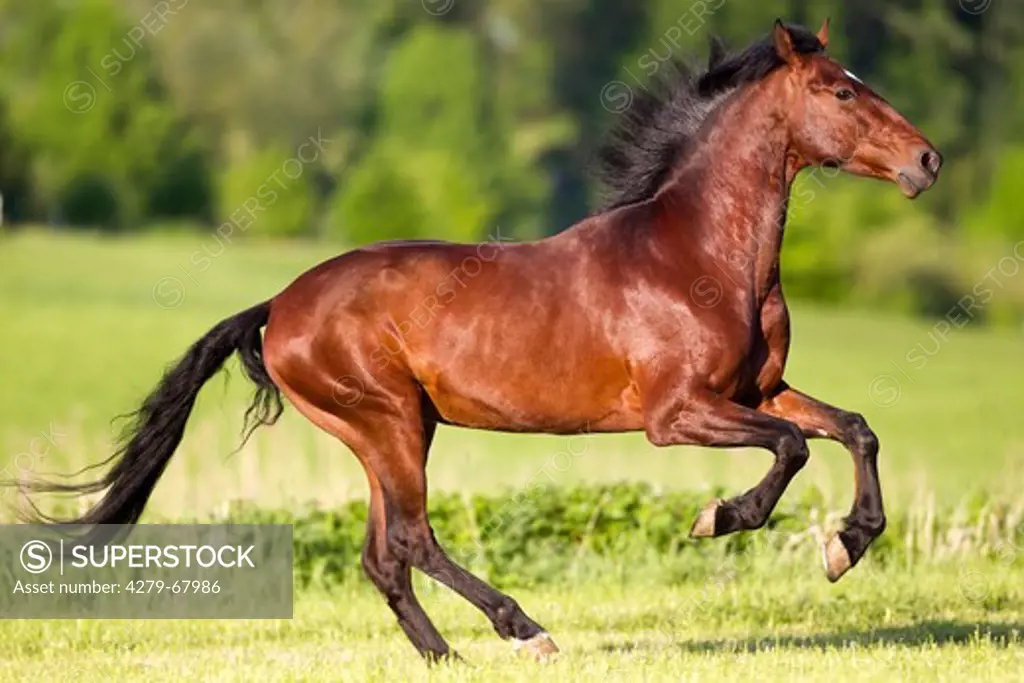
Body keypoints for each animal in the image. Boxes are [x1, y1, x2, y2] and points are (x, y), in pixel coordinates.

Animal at [24, 21, 937, 663]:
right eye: (839, 92)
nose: (926, 161)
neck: (700, 256)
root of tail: (279, 305)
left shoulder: (757, 391)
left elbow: (853, 429)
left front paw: (846, 546)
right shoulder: (679, 413)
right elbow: (791, 448)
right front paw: (722, 517)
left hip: (390, 430)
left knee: (382, 554)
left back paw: (445, 655)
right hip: (388, 420)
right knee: (410, 539)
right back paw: (524, 629)